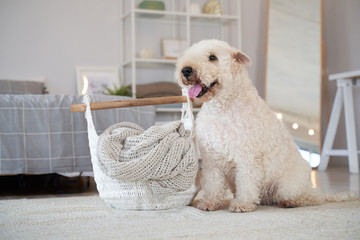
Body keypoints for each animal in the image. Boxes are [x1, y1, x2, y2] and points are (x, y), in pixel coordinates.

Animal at [176, 39, 356, 212]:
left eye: (212, 57)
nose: (186, 70)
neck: (222, 108)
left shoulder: (246, 157)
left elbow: (247, 183)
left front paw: (242, 203)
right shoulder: (211, 159)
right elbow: (214, 184)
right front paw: (210, 202)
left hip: (288, 186)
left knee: (310, 197)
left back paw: (291, 202)